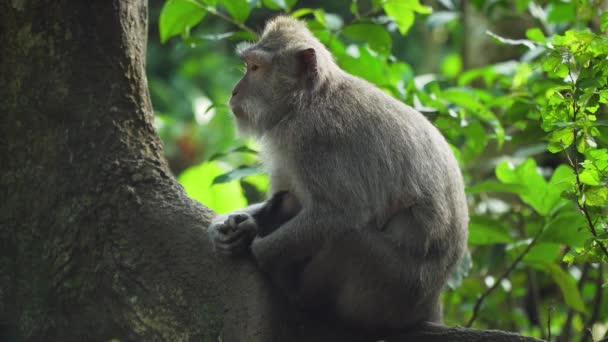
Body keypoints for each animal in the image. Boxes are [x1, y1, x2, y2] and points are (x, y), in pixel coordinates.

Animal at [207, 16, 468, 332]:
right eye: (247, 66)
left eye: (255, 68)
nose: (234, 91)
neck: (307, 101)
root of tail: (432, 300)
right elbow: (284, 196)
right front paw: (226, 226)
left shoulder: (315, 139)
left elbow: (340, 214)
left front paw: (254, 244)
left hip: (395, 286)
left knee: (348, 239)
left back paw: (299, 295)